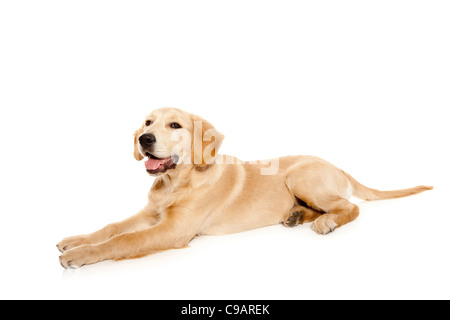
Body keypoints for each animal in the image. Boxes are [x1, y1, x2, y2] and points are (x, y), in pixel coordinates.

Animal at [57, 107, 432, 268]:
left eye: (175, 125)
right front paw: (77, 240)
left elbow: (123, 240)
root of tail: (339, 165)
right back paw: (297, 216)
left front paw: (80, 255)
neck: (176, 182)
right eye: (148, 122)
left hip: (300, 176)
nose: (144, 138)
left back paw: (324, 222)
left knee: (348, 207)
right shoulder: (151, 213)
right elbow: (112, 228)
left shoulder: (173, 230)